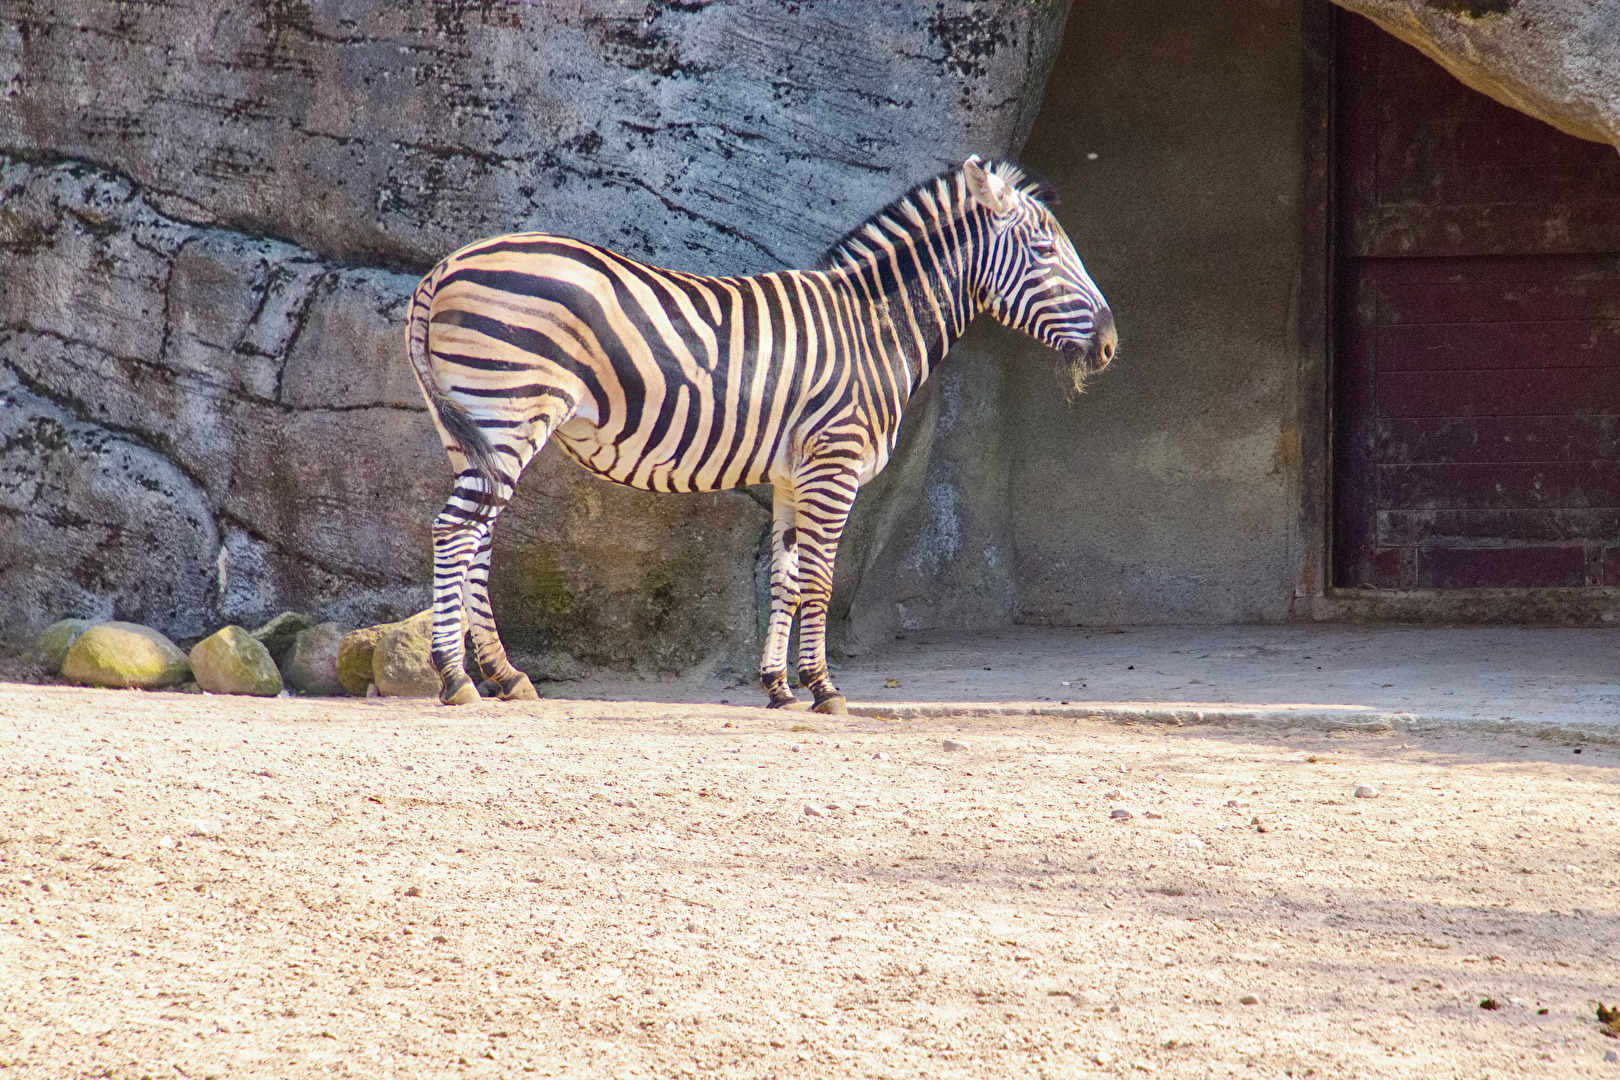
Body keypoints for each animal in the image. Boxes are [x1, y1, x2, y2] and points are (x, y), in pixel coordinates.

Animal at [406, 156, 1115, 712]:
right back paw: (455, 679)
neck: (873, 329)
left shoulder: (790, 476)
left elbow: (785, 576)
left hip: (472, 428)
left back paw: (505, 676)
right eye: (1046, 251)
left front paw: (779, 686)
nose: (1111, 344)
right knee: (455, 530)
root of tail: (446, 264)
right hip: (507, 410)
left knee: (476, 537)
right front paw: (825, 688)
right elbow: (821, 580)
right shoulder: (834, 460)